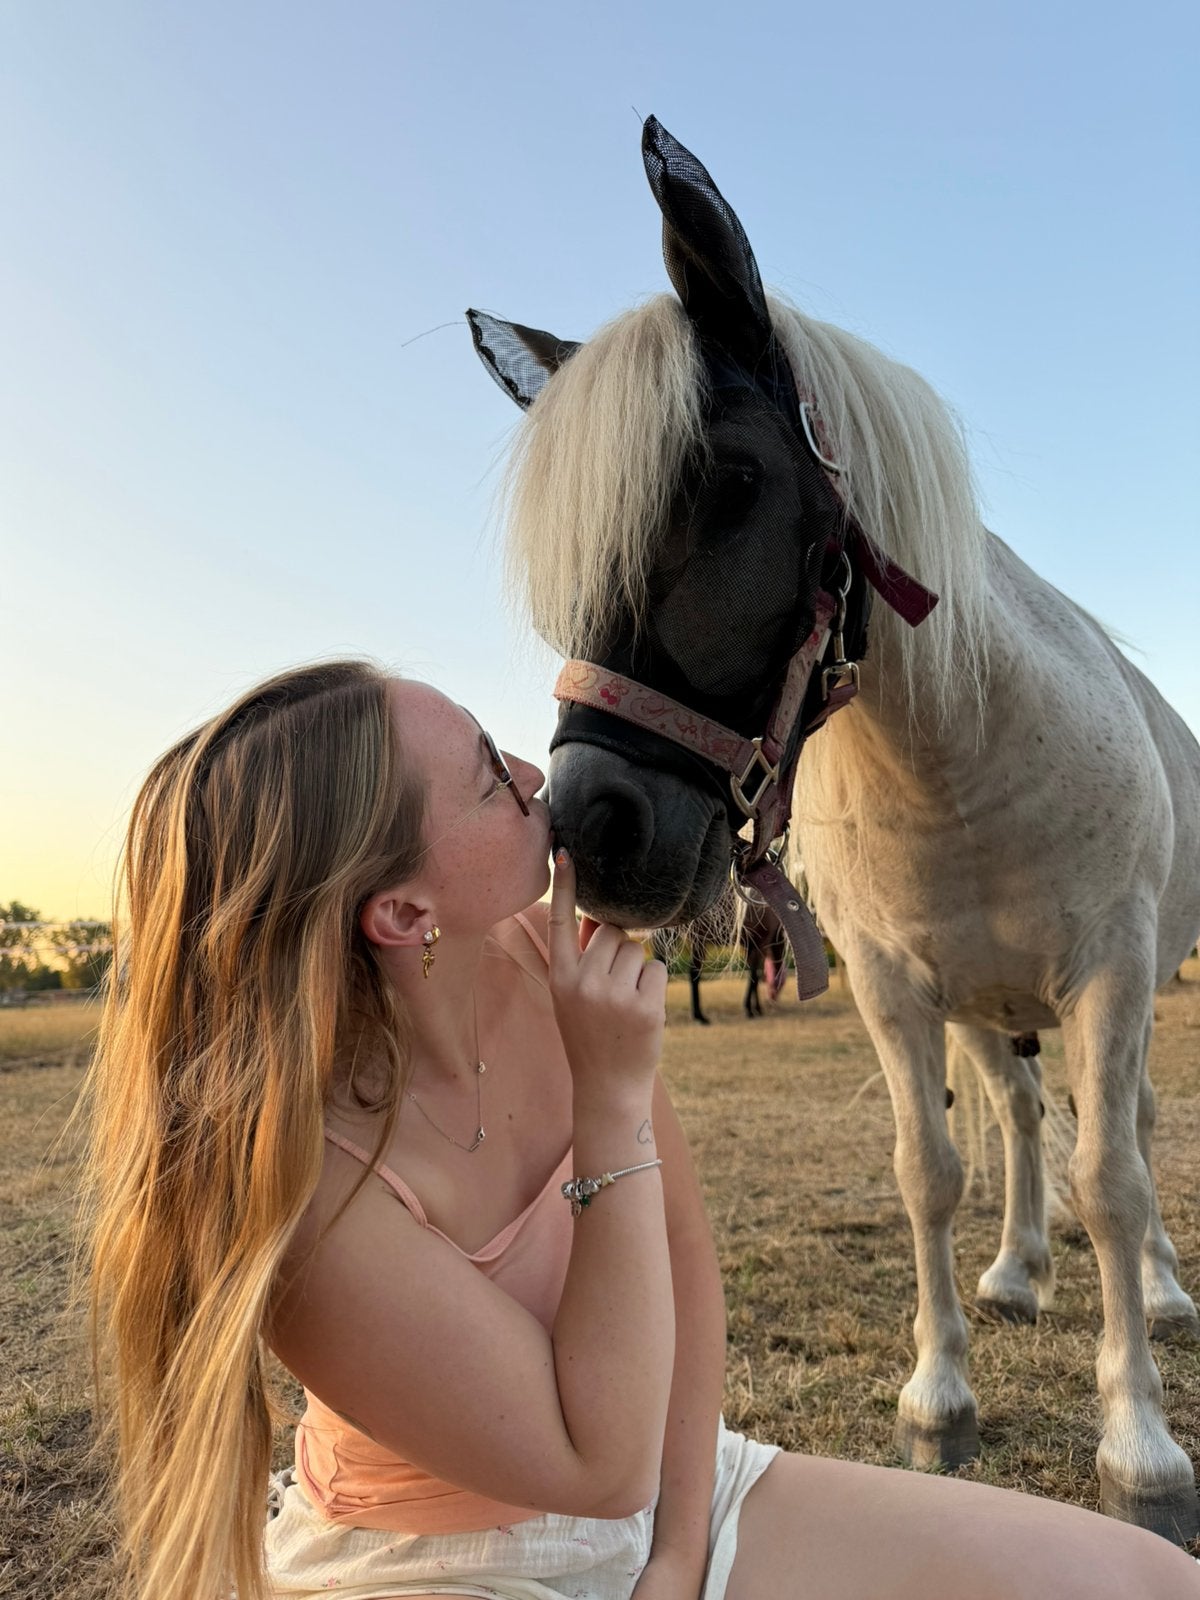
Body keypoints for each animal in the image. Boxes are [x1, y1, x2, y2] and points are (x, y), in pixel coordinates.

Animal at [467, 118, 1200, 1541]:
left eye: (734, 480)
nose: (593, 827)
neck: (959, 764)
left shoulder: (1114, 972)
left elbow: (1116, 1179)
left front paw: (1139, 1448)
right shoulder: (892, 987)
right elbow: (929, 1170)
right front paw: (940, 1399)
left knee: (1119, 1129)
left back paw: (1161, 1288)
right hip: (982, 1002)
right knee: (1017, 1115)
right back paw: (1017, 1273)